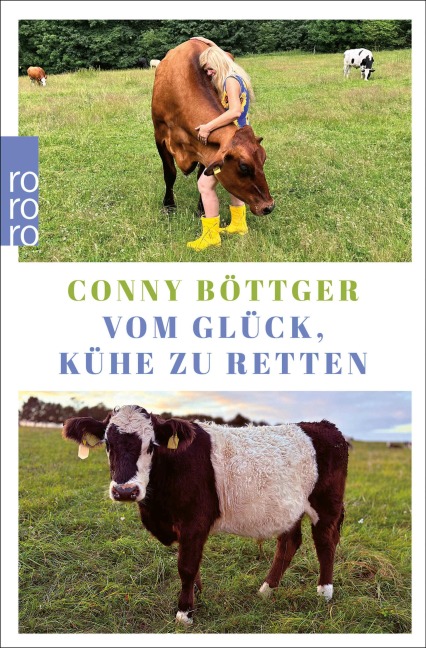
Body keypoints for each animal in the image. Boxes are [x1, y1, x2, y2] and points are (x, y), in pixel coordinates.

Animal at [63, 406, 349, 626]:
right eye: (108, 445)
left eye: (151, 446)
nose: (125, 491)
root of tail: (324, 426)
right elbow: (193, 566)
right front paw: (196, 596)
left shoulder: (194, 523)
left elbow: (186, 567)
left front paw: (184, 612)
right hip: (288, 510)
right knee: (289, 543)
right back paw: (267, 589)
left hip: (326, 504)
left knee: (325, 541)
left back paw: (324, 592)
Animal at [151, 39, 274, 216]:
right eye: (244, 167)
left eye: (263, 159)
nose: (269, 206)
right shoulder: (159, 135)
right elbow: (170, 173)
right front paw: (168, 206)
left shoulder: (205, 147)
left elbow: (200, 175)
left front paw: (201, 207)